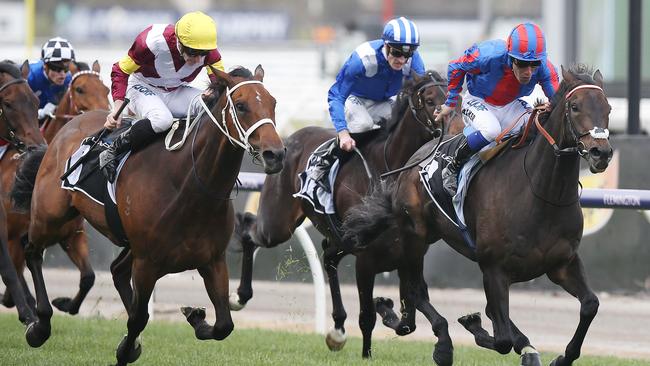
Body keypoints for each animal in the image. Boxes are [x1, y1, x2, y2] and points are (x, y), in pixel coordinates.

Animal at [0, 59, 109, 314]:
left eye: (106, 89)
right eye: (80, 89)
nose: (106, 114)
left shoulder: (72, 235)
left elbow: (88, 277)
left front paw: (64, 303)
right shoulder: (14, 238)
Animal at [10, 64, 284, 364]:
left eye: (273, 103)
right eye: (242, 105)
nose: (276, 154)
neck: (189, 186)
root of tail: (65, 130)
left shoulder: (212, 260)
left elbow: (224, 324)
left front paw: (195, 316)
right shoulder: (147, 263)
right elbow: (138, 319)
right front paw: (125, 349)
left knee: (116, 270)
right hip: (50, 216)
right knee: (31, 251)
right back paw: (39, 325)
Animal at [230, 70, 458, 362]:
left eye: (453, 96)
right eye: (429, 100)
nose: (454, 130)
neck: (390, 173)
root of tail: (286, 140)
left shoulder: (408, 255)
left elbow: (409, 320)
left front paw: (387, 308)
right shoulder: (367, 259)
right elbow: (368, 316)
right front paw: (367, 353)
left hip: (338, 236)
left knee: (328, 257)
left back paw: (337, 327)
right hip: (277, 223)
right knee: (249, 230)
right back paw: (239, 297)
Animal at [342, 63, 612, 366]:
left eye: (608, 108)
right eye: (575, 107)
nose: (601, 153)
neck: (540, 193)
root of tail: (413, 160)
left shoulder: (562, 263)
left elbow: (590, 304)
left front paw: (561, 357)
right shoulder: (494, 268)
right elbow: (503, 339)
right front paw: (478, 329)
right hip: (414, 235)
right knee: (415, 289)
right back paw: (440, 342)